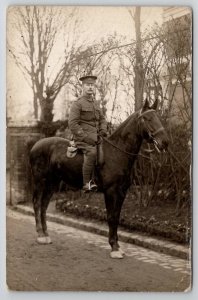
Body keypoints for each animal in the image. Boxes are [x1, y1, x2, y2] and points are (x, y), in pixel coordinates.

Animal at [29, 99, 169, 258]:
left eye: (158, 117)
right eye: (147, 118)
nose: (165, 142)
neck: (116, 153)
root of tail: (36, 145)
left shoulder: (121, 193)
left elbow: (117, 217)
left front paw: (117, 245)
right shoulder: (110, 192)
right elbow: (111, 217)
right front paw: (114, 247)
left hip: (52, 183)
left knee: (44, 205)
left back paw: (46, 234)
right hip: (40, 181)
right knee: (37, 203)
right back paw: (40, 235)